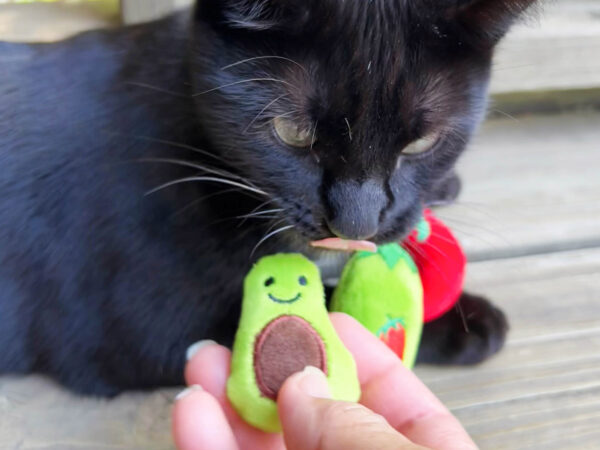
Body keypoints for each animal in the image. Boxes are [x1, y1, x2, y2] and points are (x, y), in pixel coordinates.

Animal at [0, 0, 536, 396]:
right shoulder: (136, 326)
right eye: (292, 132)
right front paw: (463, 321)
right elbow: (338, 311)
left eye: (421, 143)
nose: (356, 224)